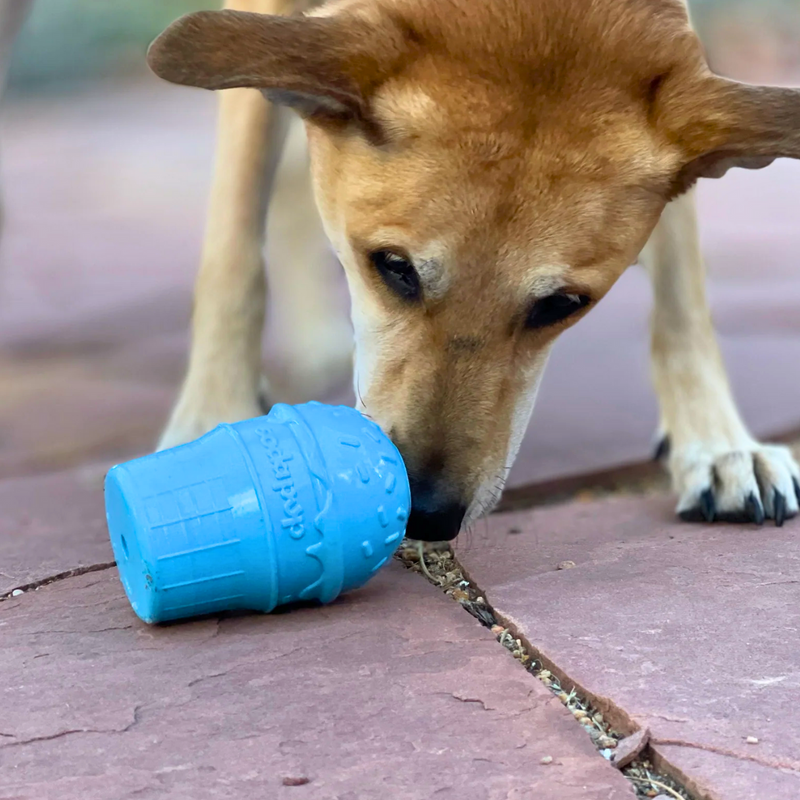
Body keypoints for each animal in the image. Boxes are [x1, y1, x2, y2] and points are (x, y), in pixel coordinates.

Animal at [6, 0, 800, 540]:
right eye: (391, 268)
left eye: (561, 305)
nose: (426, 513)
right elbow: (233, 252)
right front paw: (214, 416)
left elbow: (681, 287)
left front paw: (717, 442)